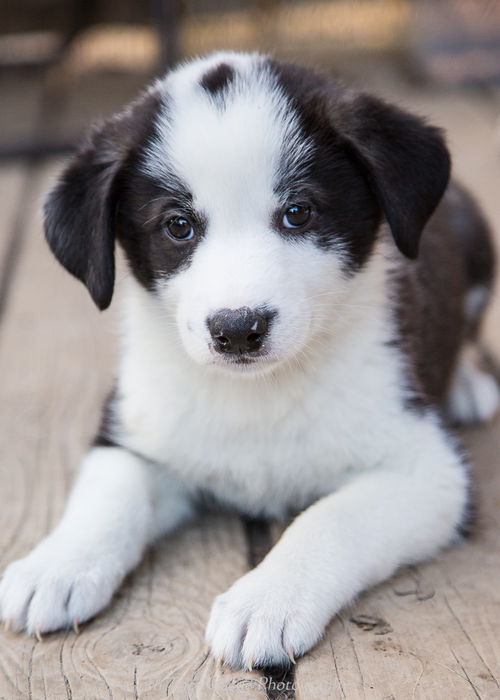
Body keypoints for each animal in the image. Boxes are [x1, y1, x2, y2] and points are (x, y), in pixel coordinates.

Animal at [1, 50, 498, 668]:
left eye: (299, 212)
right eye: (178, 226)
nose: (237, 330)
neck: (256, 394)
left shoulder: (429, 470)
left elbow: (330, 518)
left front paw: (267, 599)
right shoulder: (134, 430)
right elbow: (108, 495)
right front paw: (56, 566)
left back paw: (468, 383)